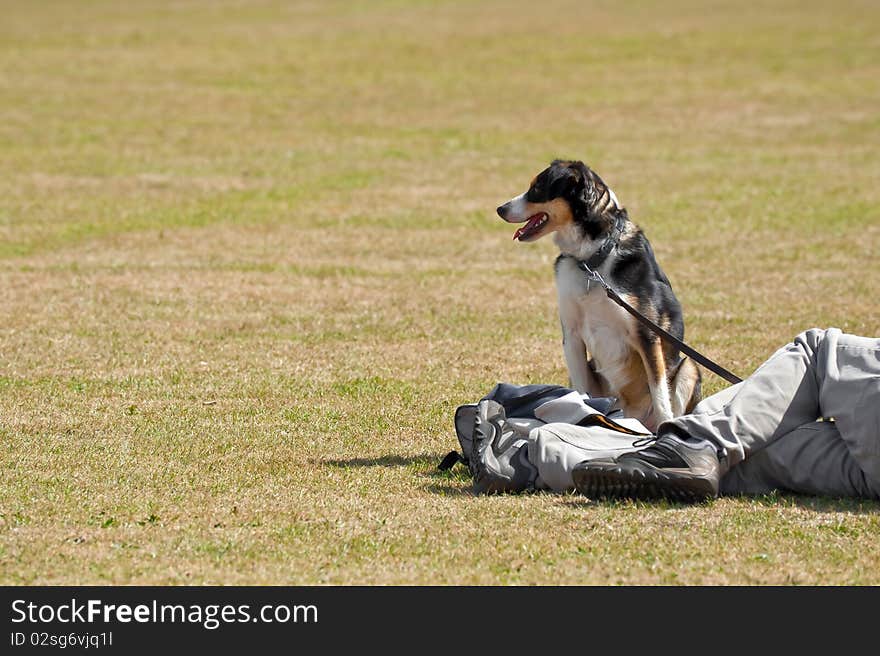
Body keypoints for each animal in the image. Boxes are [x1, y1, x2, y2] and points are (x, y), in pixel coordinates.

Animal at [498, 159, 696, 430]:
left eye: (537, 188)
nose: (500, 209)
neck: (591, 261)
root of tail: (631, 414)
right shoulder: (571, 335)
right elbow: (581, 395)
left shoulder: (647, 335)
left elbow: (660, 395)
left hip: (690, 366)